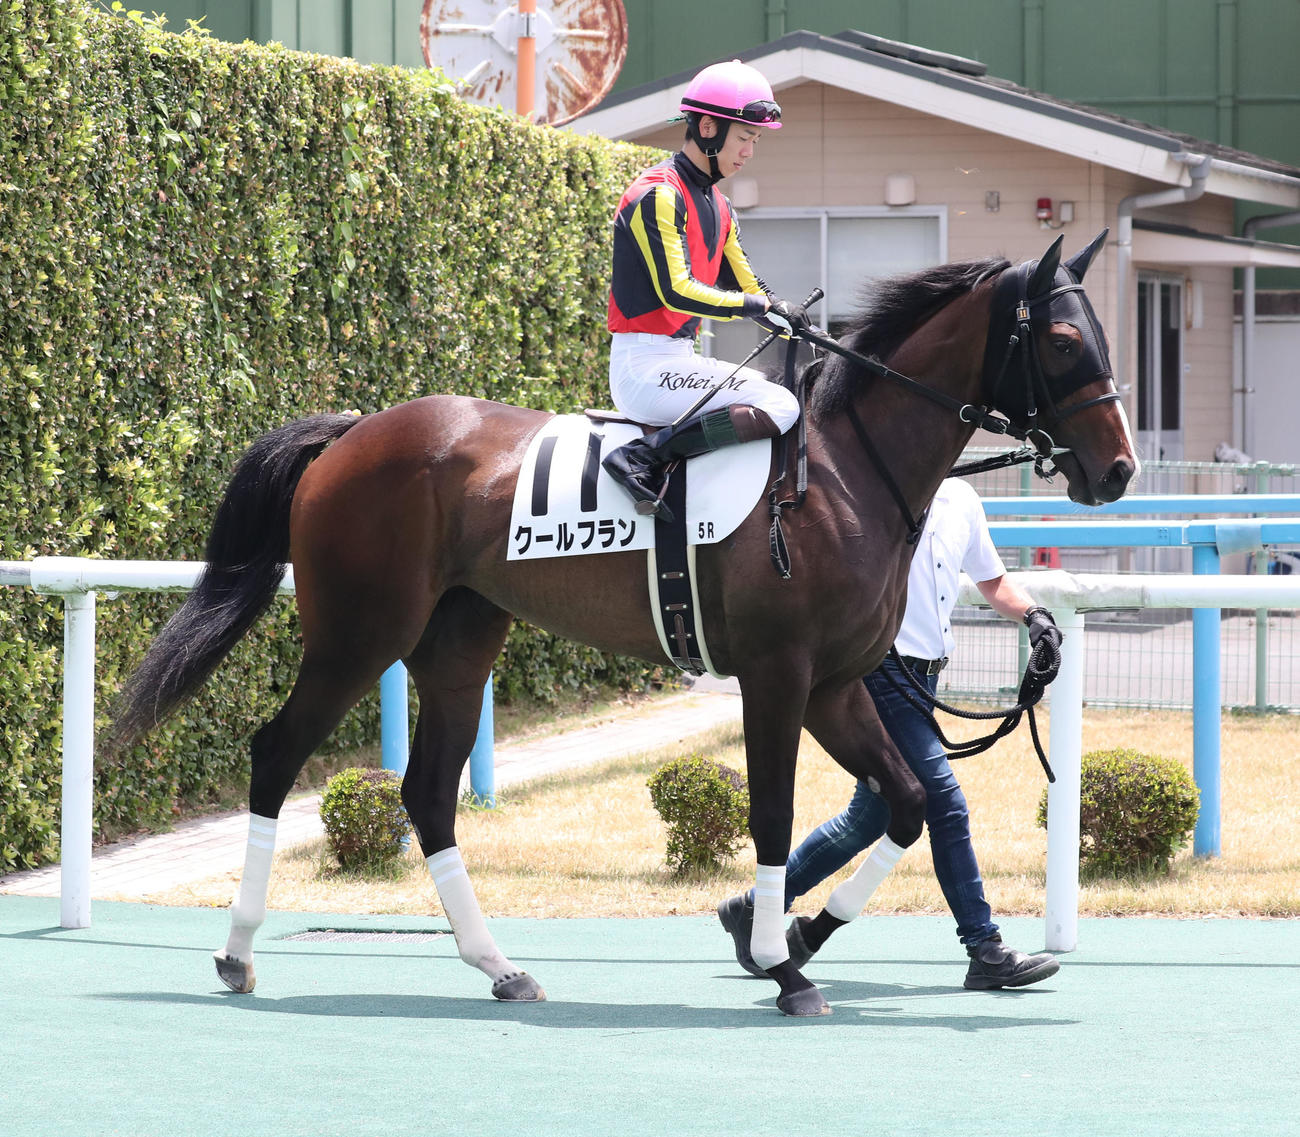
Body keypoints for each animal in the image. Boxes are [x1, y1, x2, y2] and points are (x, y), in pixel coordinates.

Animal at [104, 230, 1137, 1017]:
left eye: (1101, 334)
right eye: (1060, 339)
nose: (1118, 470)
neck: (847, 472)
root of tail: (353, 432)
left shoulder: (839, 685)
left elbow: (911, 803)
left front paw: (798, 934)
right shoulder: (779, 676)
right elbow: (773, 815)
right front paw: (782, 962)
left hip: (458, 642)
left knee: (429, 795)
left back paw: (500, 966)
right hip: (360, 634)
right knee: (277, 751)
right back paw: (239, 951)